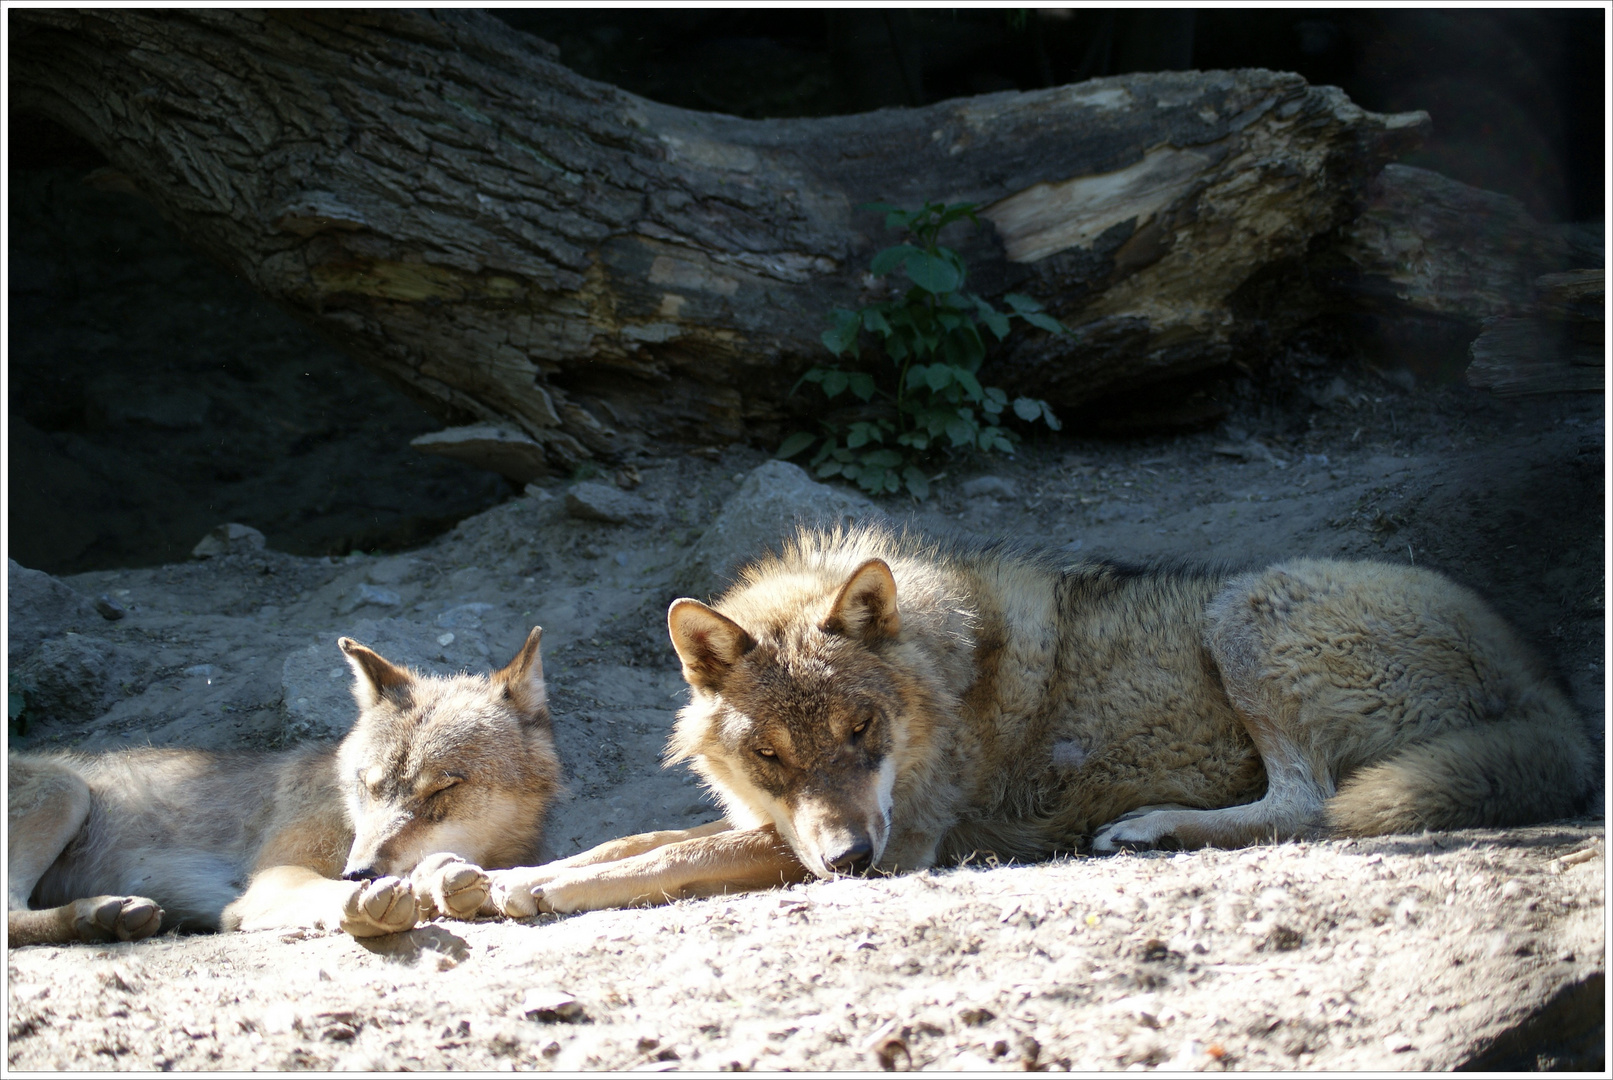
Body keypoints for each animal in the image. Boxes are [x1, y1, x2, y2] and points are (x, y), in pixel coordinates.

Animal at [7, 625, 561, 947]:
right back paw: (100, 915)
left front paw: (445, 884)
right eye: (369, 786)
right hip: (65, 788)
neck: (344, 817)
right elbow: (331, 891)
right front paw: (370, 900)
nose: (359, 871)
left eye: (441, 790)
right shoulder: (269, 880)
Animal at [470, 528, 1593, 915]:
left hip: (1245, 611)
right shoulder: (787, 825)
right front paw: (478, 878)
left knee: (1310, 806)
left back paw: (1151, 827)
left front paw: (521, 891)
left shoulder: (903, 839)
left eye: (860, 732)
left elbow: (661, 859)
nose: (848, 866)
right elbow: (635, 841)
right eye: (772, 755)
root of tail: (1545, 684)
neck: (938, 684)